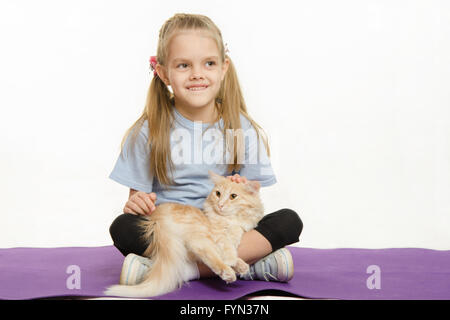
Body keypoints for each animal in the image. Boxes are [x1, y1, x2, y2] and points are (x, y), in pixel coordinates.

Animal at [104, 170, 264, 298]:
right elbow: (228, 249)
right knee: (207, 255)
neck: (230, 220)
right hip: (199, 235)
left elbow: (233, 243)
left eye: (233, 196)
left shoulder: (237, 230)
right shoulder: (217, 233)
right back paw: (228, 272)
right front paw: (231, 260)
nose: (220, 205)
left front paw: (237, 261)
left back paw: (240, 267)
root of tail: (158, 217)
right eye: (218, 194)